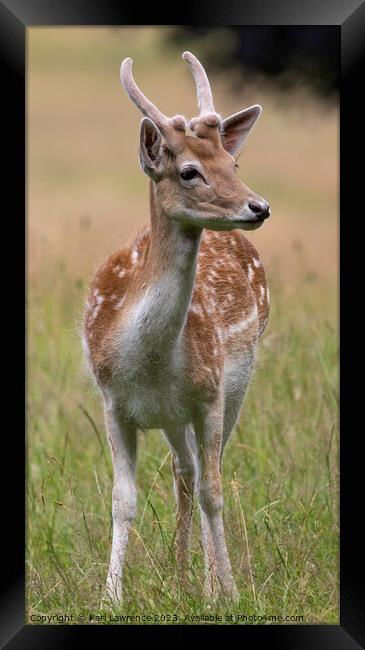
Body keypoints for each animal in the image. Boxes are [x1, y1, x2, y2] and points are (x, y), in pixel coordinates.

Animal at [83, 52, 270, 604]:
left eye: (232, 164)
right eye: (189, 171)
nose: (258, 206)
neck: (147, 360)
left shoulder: (210, 394)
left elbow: (215, 491)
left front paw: (225, 592)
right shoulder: (114, 404)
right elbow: (123, 500)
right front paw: (110, 598)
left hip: (235, 386)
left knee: (202, 472)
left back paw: (201, 579)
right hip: (170, 416)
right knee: (182, 469)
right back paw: (181, 571)